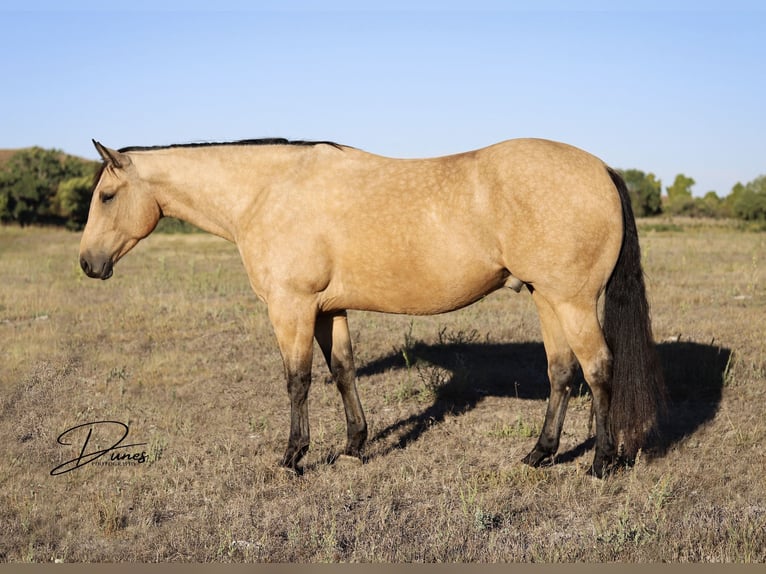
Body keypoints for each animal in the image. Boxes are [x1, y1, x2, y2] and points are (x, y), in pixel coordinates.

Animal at [78, 137, 664, 480]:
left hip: (573, 301)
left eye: (106, 196)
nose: (87, 263)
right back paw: (540, 454)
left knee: (599, 370)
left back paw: (601, 463)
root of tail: (602, 168)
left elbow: (297, 381)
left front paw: (293, 459)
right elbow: (343, 371)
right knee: (562, 373)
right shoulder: (327, 310)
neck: (266, 191)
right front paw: (354, 447)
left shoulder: (291, 308)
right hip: (547, 299)